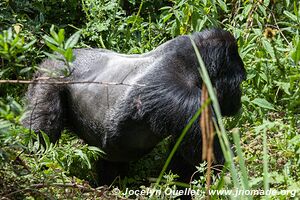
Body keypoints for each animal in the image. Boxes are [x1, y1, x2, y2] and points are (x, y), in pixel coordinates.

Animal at [22, 28, 246, 184]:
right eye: (240, 81)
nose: (239, 101)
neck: (194, 64)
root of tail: (56, 55)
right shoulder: (188, 103)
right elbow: (212, 161)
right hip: (50, 74)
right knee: (40, 132)